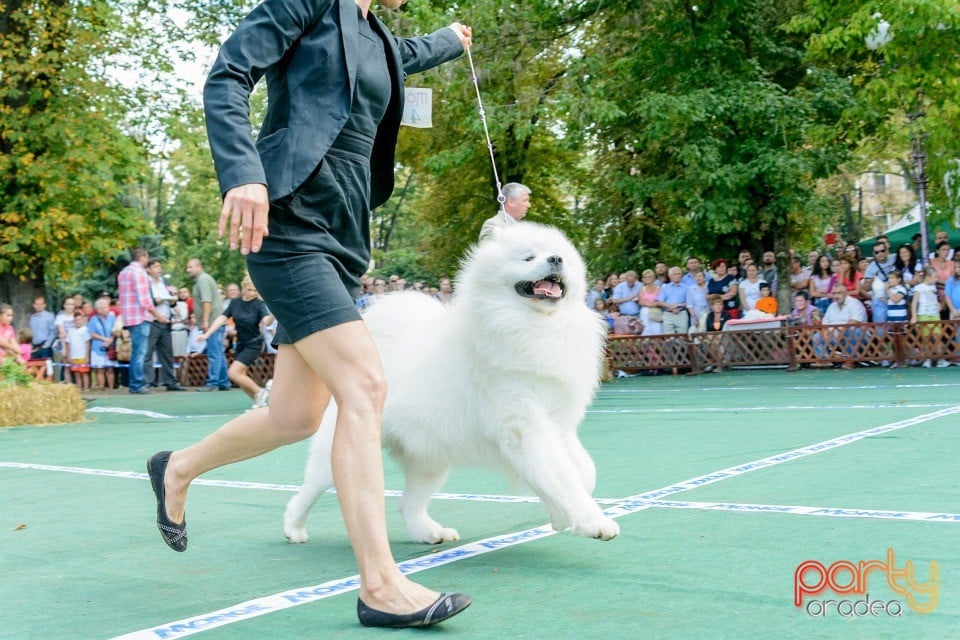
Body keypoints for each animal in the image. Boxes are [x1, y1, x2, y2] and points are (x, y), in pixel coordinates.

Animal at [282, 221, 620, 544]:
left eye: (559, 255)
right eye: (528, 257)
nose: (556, 259)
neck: (534, 325)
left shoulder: (558, 426)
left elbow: (583, 471)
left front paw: (560, 514)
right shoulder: (527, 427)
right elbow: (566, 478)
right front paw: (593, 522)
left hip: (429, 461)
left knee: (409, 505)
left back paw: (430, 533)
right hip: (340, 451)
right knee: (308, 490)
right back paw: (294, 528)